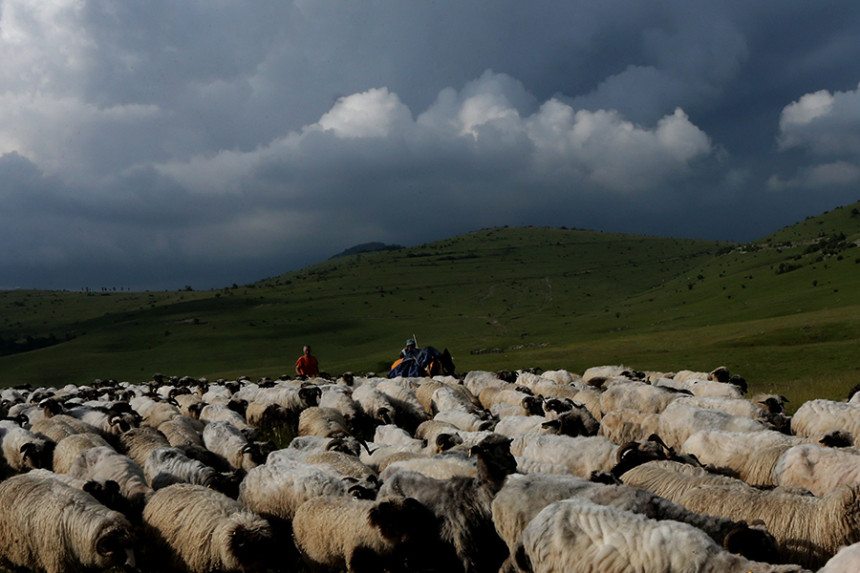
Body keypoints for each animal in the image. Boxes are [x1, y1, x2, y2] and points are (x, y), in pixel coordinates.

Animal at [294, 494, 444, 568]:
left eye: (412, 519)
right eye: (389, 519)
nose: (407, 538)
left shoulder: (394, 561)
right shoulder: (356, 559)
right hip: (309, 557)